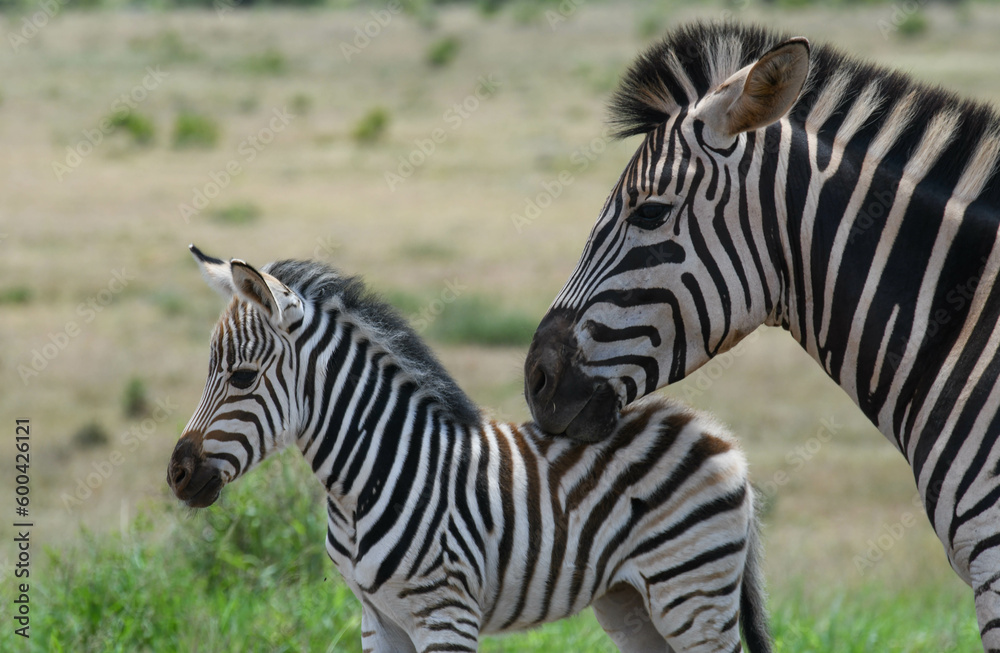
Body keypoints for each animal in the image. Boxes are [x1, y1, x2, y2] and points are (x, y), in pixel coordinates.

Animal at [167, 245, 771, 653]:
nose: (177, 473)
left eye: (242, 378)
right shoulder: (378, 619)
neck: (370, 477)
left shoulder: (446, 615)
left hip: (692, 594)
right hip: (632, 602)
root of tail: (720, 438)